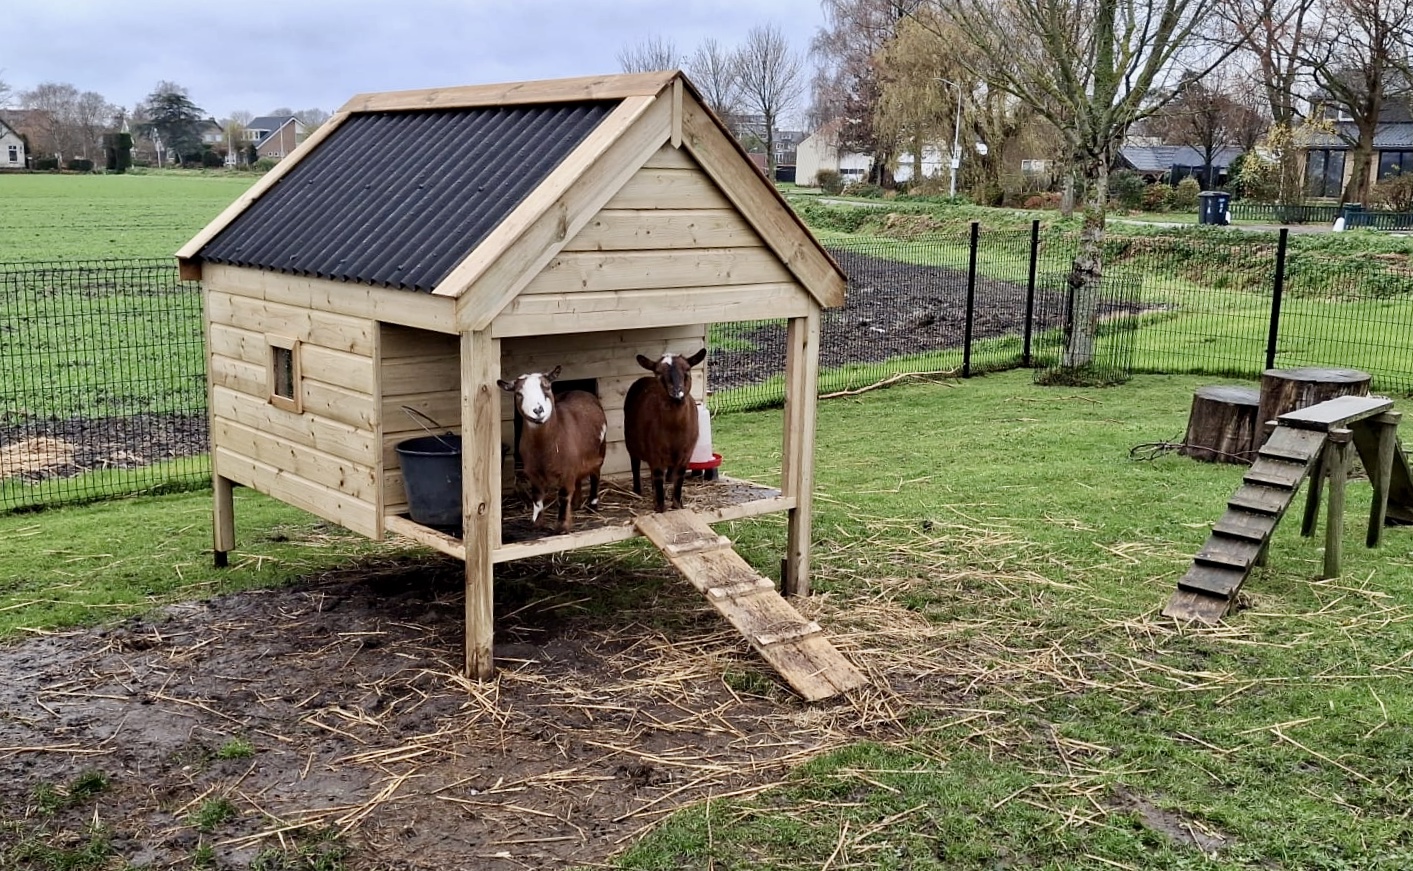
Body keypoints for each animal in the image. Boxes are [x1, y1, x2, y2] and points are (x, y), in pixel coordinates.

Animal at [497, 364, 607, 534]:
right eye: (519, 394)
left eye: (547, 387)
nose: (538, 410)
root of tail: (580, 391)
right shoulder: (532, 470)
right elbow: (536, 496)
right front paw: (536, 523)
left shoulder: (567, 470)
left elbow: (563, 495)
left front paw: (562, 526)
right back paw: (576, 503)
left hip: (600, 450)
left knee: (595, 474)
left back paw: (592, 505)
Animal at [624, 346, 706, 509]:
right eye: (658, 373)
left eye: (687, 370)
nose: (677, 394)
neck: (674, 430)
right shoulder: (654, 453)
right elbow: (657, 479)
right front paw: (660, 507)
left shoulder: (686, 454)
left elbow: (679, 480)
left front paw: (677, 505)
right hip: (631, 442)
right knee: (635, 464)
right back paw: (638, 490)